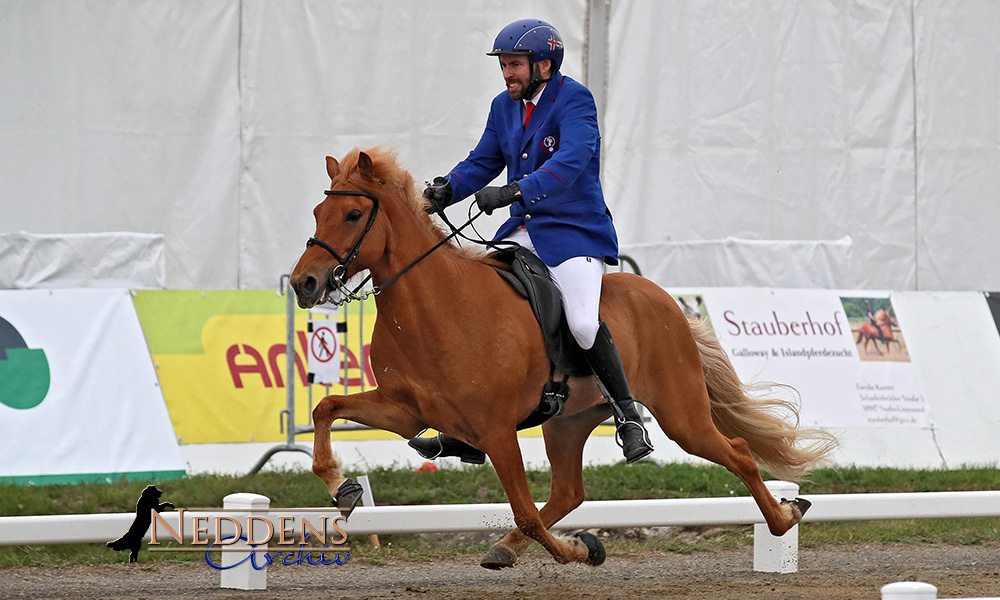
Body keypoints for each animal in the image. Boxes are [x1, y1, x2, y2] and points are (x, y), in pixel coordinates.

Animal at [290, 148, 836, 568]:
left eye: (353, 215)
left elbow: (527, 513)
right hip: (567, 422)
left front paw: (576, 551)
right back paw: (510, 547)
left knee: (738, 452)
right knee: (570, 492)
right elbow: (326, 408)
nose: (303, 284)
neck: (436, 307)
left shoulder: (496, 431)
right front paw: (342, 488)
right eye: (317, 214)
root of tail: (665, 300)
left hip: (682, 416)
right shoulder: (406, 410)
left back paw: (783, 518)